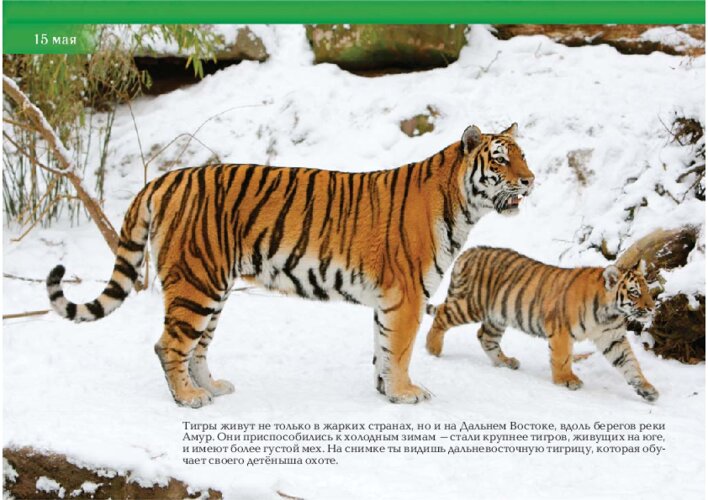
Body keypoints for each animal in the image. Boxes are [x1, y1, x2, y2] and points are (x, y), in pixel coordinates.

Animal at [46, 123, 534, 408]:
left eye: (522, 155)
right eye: (500, 158)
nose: (531, 180)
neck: (463, 206)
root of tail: (167, 177)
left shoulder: (389, 300)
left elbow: (382, 348)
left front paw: (384, 392)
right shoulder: (408, 294)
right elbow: (399, 349)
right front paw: (405, 393)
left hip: (212, 288)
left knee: (197, 346)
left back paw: (212, 388)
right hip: (196, 283)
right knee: (169, 344)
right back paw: (188, 398)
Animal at [425, 246, 659, 401]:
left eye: (647, 290)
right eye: (634, 292)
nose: (652, 308)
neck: (609, 313)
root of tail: (466, 253)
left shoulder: (612, 337)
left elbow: (629, 363)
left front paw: (647, 388)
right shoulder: (562, 330)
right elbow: (562, 358)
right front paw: (567, 380)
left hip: (497, 315)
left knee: (485, 337)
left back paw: (506, 362)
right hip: (471, 304)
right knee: (442, 315)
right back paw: (433, 349)